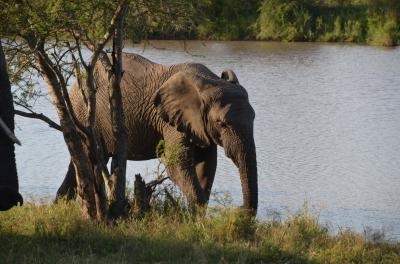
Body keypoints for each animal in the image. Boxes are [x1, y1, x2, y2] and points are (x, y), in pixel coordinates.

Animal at [58, 53, 260, 214]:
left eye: (254, 118)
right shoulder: (170, 120)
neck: (209, 81)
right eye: (222, 123)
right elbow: (177, 165)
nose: (239, 210)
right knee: (89, 159)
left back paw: (60, 203)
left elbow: (207, 166)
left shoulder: (200, 127)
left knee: (80, 162)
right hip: (83, 113)